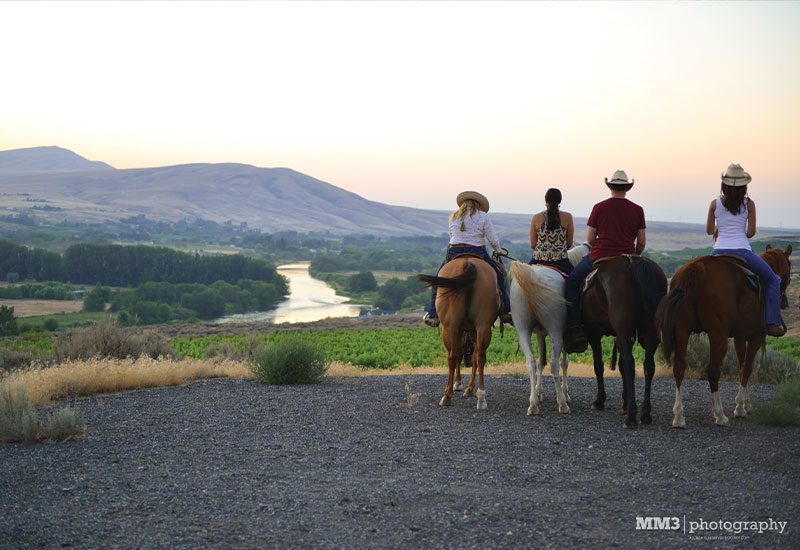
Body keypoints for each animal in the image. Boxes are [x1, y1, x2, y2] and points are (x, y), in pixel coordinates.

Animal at [418, 254, 500, 410]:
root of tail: (466, 263)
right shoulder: (469, 331)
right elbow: (470, 357)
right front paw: (466, 387)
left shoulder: (459, 331)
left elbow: (460, 355)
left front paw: (459, 385)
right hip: (482, 325)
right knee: (478, 356)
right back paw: (480, 397)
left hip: (451, 327)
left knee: (454, 356)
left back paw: (448, 395)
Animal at [510, 244, 592, 416]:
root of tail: (533, 276)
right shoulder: (565, 334)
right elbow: (564, 362)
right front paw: (565, 393)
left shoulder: (540, 334)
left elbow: (541, 362)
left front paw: (538, 393)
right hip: (556, 333)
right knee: (554, 364)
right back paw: (562, 403)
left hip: (523, 331)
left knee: (531, 362)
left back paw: (532, 405)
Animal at [580, 256, 668, 430]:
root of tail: (635, 262)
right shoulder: (623, 336)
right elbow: (620, 366)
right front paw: (625, 404)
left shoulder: (594, 334)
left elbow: (599, 366)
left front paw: (600, 401)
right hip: (648, 334)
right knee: (648, 366)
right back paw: (645, 413)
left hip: (623, 332)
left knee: (630, 366)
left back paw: (631, 417)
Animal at [656, 246, 792, 432]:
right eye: (789, 268)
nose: (784, 302)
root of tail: (696, 269)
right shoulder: (756, 336)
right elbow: (747, 368)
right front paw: (740, 407)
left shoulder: (740, 337)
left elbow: (742, 367)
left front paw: (746, 404)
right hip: (717, 335)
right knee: (713, 370)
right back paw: (720, 415)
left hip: (682, 330)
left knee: (679, 368)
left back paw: (679, 417)